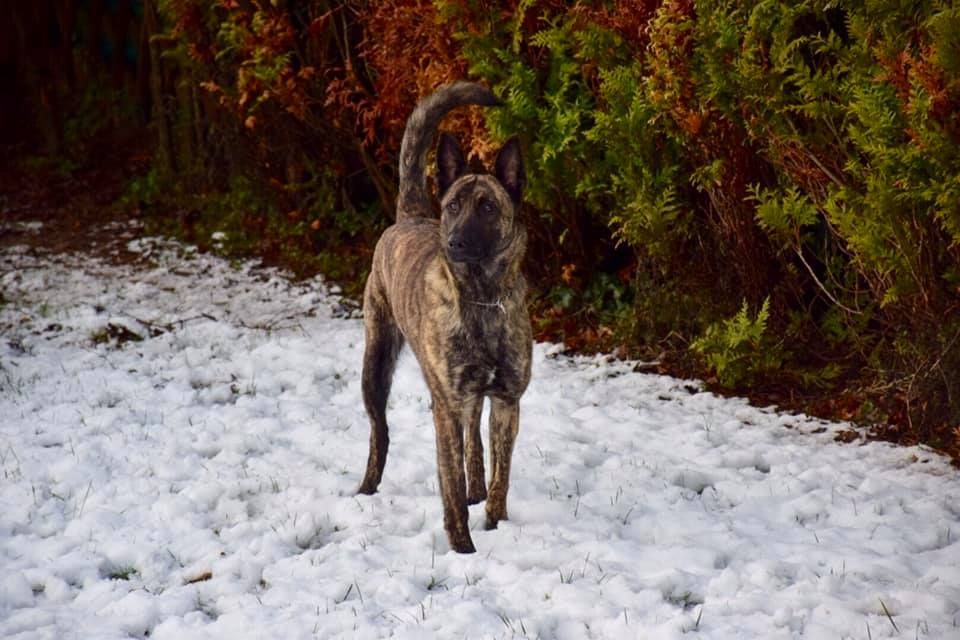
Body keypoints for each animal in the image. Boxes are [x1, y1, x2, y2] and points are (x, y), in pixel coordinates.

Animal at [357, 82, 532, 554]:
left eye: (488, 208)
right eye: (453, 206)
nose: (453, 242)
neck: (481, 299)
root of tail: (411, 215)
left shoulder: (507, 401)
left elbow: (502, 476)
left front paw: (495, 522)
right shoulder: (445, 409)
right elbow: (449, 484)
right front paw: (463, 548)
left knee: (474, 438)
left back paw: (476, 487)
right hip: (375, 365)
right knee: (379, 432)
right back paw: (365, 490)